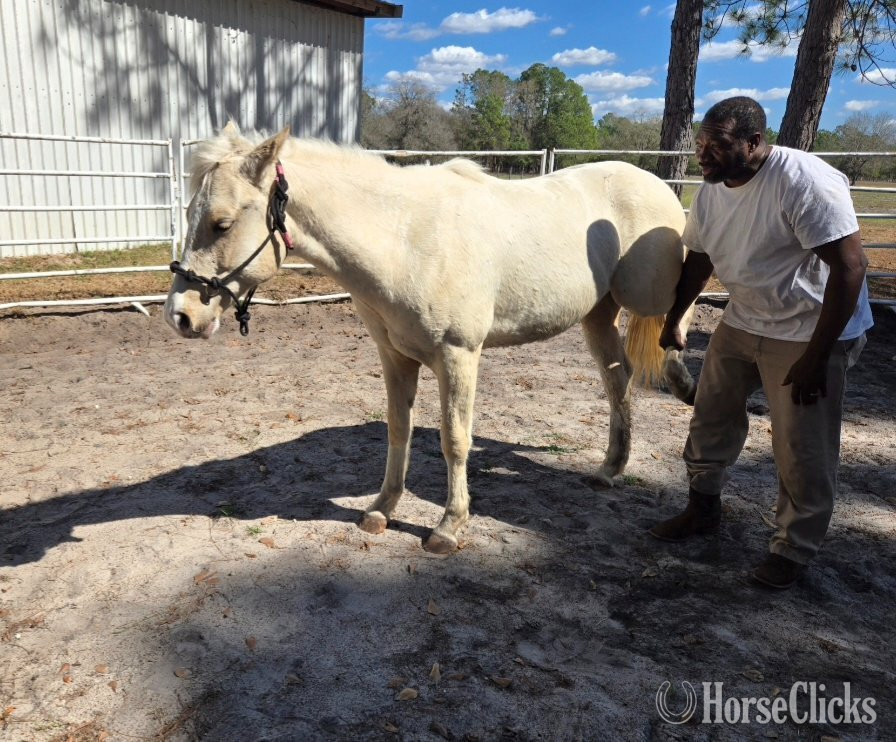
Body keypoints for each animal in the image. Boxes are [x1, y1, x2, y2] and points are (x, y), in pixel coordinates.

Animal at [164, 123, 696, 553]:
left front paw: (448, 526)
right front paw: (381, 509)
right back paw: (611, 468)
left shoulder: (458, 357)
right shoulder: (395, 357)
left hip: (645, 294)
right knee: (618, 379)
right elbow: (398, 429)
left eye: (222, 223)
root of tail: (654, 184)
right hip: (597, 316)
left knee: (680, 309)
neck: (405, 240)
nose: (180, 316)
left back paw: (683, 382)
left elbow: (454, 439)